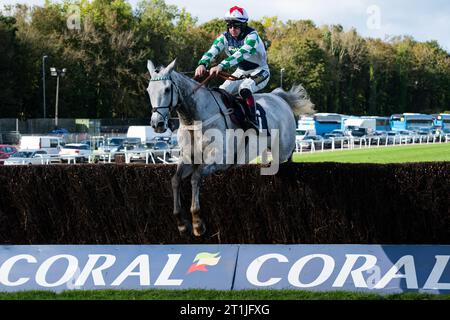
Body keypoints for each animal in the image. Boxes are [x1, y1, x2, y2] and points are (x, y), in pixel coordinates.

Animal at [146, 58, 314, 236]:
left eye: (167, 89)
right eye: (149, 90)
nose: (157, 124)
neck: (195, 120)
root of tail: (279, 97)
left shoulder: (219, 159)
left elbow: (195, 178)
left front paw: (197, 222)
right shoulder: (188, 158)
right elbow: (175, 180)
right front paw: (181, 223)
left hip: (282, 151)